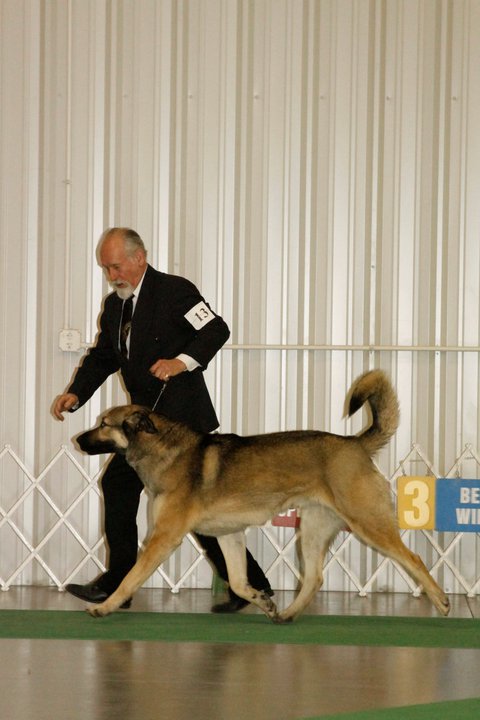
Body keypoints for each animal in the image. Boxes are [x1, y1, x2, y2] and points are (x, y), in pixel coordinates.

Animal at [76, 369, 450, 621]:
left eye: (104, 423)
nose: (78, 439)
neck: (164, 450)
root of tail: (354, 444)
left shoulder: (163, 538)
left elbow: (129, 578)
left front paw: (105, 606)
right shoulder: (228, 536)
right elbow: (240, 583)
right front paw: (262, 600)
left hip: (368, 524)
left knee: (414, 559)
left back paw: (442, 601)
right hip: (311, 531)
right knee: (314, 578)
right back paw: (285, 615)